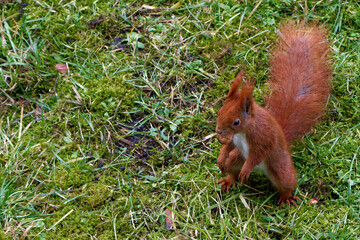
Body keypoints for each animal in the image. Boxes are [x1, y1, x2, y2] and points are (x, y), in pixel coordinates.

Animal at [215, 22, 330, 208]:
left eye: (236, 122)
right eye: (220, 111)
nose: (218, 131)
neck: (245, 131)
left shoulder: (264, 137)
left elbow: (258, 153)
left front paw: (246, 169)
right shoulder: (234, 141)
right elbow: (228, 147)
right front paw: (220, 157)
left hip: (281, 168)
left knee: (286, 183)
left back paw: (286, 198)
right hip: (237, 158)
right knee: (232, 168)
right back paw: (229, 180)